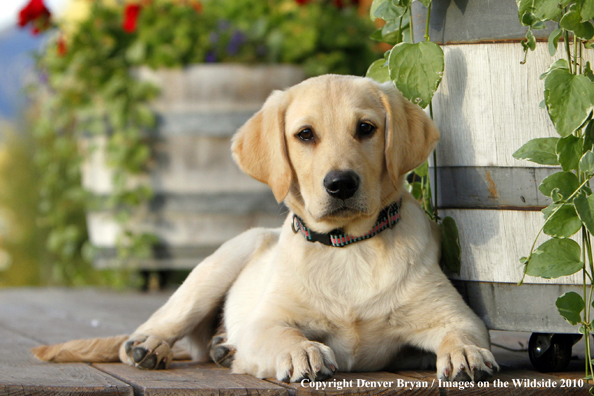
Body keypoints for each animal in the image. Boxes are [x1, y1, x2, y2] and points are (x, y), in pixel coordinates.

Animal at [32, 75, 494, 384]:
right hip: (225, 260)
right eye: (305, 135)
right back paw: (150, 345)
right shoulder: (266, 321)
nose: (340, 184)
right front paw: (303, 352)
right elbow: (283, 334)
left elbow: (463, 332)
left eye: (366, 128)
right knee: (165, 321)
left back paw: (220, 347)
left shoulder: (455, 314)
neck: (348, 245)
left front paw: (467, 354)